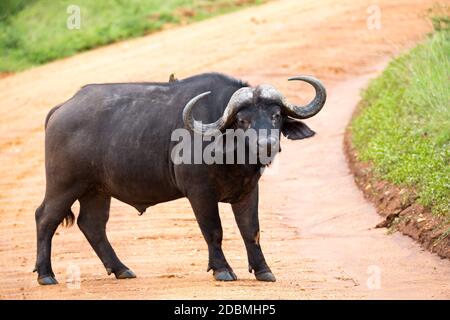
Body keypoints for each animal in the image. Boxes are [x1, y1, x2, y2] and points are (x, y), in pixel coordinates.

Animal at [33, 73, 326, 284]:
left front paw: (263, 270)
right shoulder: (200, 193)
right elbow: (214, 230)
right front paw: (222, 270)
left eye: (275, 116)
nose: (266, 145)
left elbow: (251, 230)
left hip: (96, 190)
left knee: (92, 225)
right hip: (64, 185)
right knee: (45, 218)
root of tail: (61, 108)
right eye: (243, 120)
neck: (229, 155)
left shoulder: (247, 191)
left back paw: (121, 269)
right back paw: (46, 275)